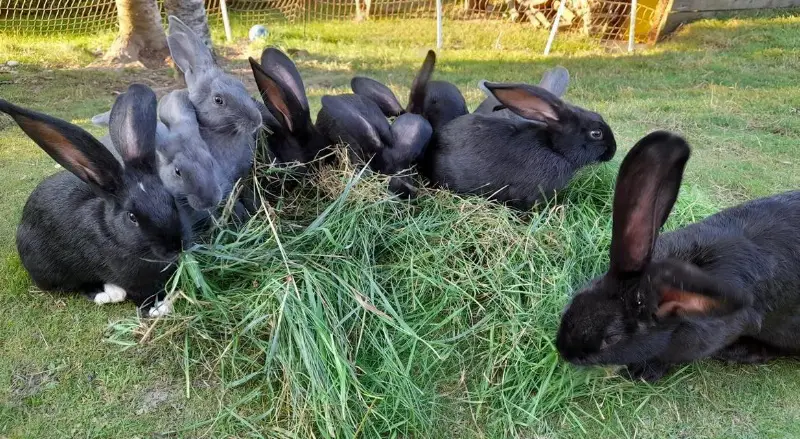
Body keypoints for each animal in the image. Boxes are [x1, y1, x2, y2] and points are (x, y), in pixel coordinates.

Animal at [2, 84, 191, 317]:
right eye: (132, 217)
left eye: (170, 200)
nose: (175, 247)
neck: (112, 231)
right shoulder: (133, 282)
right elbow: (141, 295)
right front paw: (157, 308)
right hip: (49, 267)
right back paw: (108, 293)